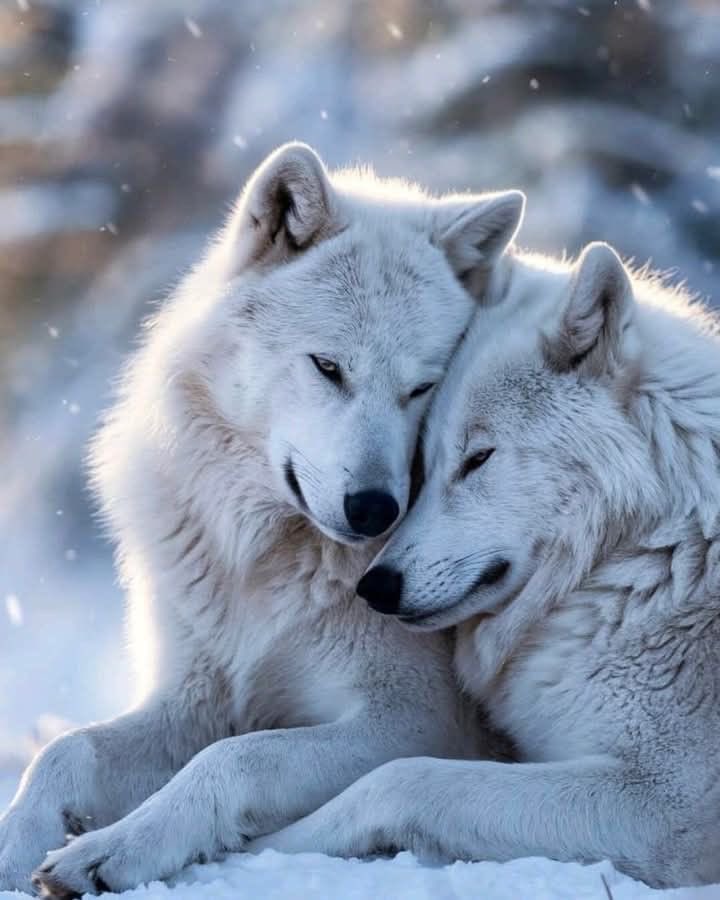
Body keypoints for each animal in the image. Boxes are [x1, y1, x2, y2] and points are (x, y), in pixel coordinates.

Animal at [0, 143, 526, 896]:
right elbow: (65, 751)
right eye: (328, 367)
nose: (376, 510)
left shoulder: (413, 723)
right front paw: (15, 846)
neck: (262, 563)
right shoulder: (194, 701)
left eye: (422, 388)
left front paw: (119, 847)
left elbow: (235, 757)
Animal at [252, 241, 720, 888]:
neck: (644, 552)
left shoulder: (665, 801)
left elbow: (402, 778)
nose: (375, 587)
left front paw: (261, 846)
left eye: (478, 458)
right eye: (423, 463)